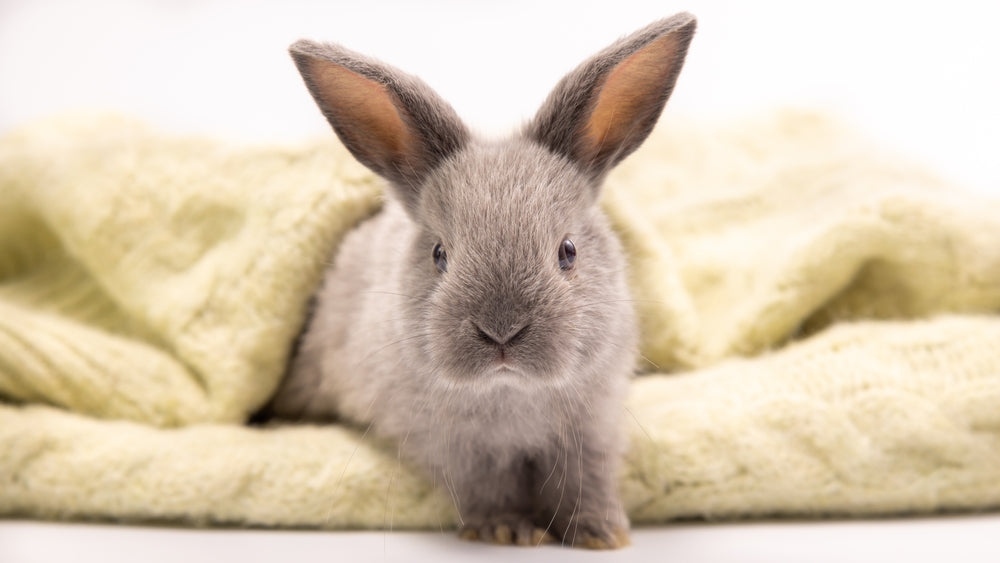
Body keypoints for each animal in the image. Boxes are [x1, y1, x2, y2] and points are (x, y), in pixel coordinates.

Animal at [267, 13, 696, 549]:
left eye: (568, 252)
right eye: (439, 255)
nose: (502, 331)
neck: (509, 392)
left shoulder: (591, 429)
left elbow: (586, 480)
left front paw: (601, 533)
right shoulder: (458, 449)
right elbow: (489, 487)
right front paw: (508, 531)